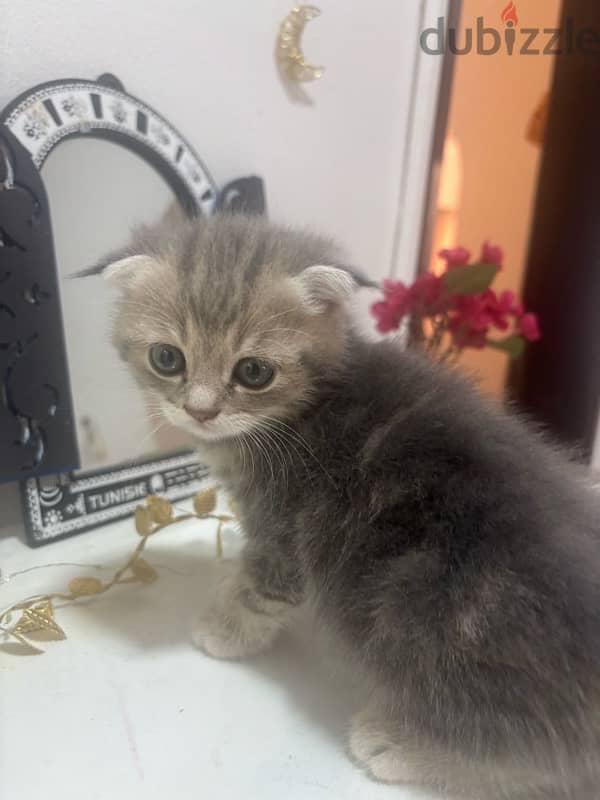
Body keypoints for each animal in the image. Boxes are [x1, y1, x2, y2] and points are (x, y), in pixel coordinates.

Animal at [102, 209, 600, 796]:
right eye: (167, 358)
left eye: (253, 372)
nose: (200, 411)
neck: (302, 410)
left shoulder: (283, 530)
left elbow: (263, 589)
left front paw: (226, 628)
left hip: (422, 616)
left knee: (526, 750)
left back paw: (402, 746)